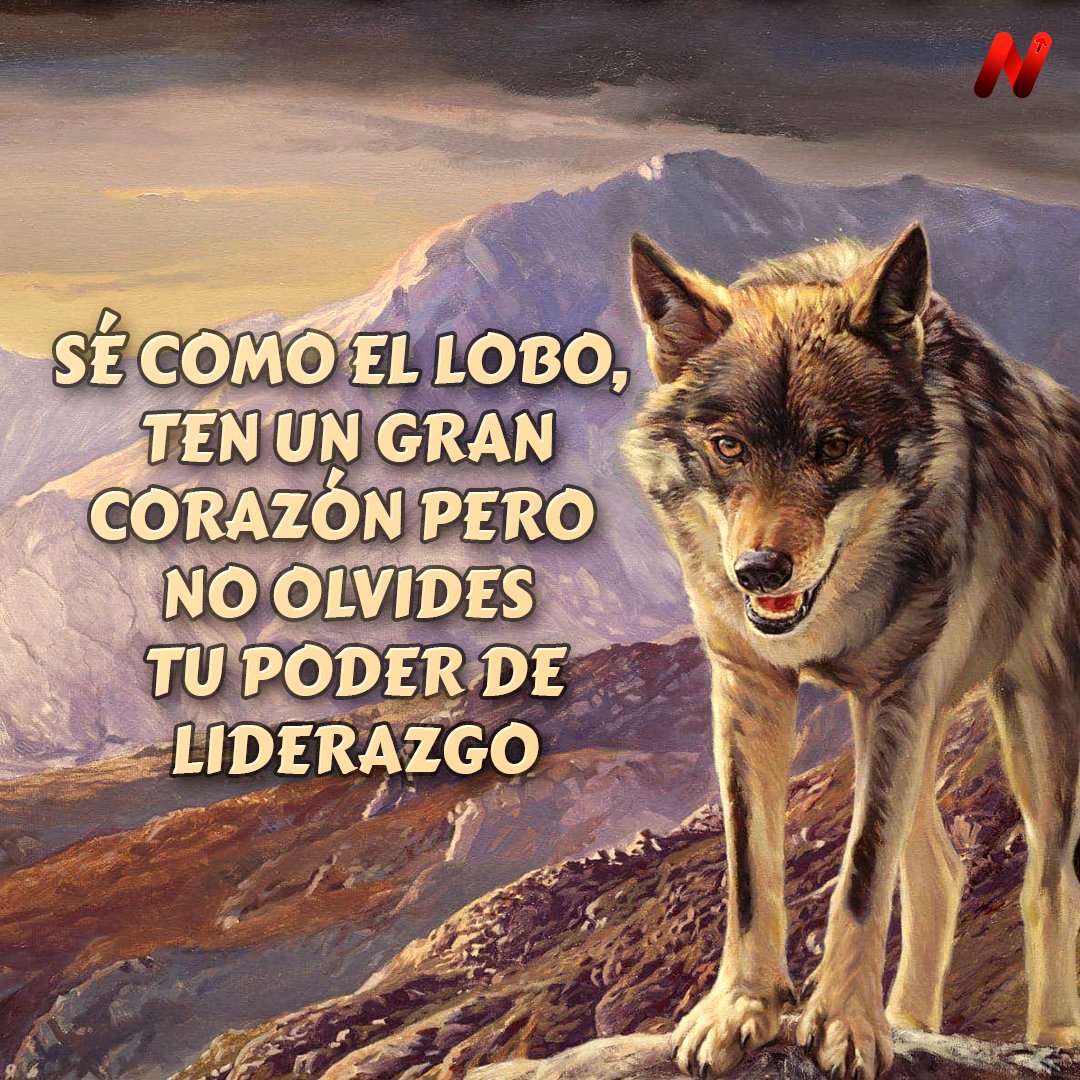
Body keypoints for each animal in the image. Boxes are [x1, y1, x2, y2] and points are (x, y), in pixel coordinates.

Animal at [624, 223, 1080, 1079]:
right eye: (728, 447)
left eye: (834, 446)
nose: (758, 571)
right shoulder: (751, 687)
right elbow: (751, 869)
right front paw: (745, 1008)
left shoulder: (899, 691)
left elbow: (862, 875)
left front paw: (840, 1023)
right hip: (925, 723)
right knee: (941, 872)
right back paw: (909, 1020)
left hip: (1033, 721)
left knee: (1048, 877)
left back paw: (1054, 1037)